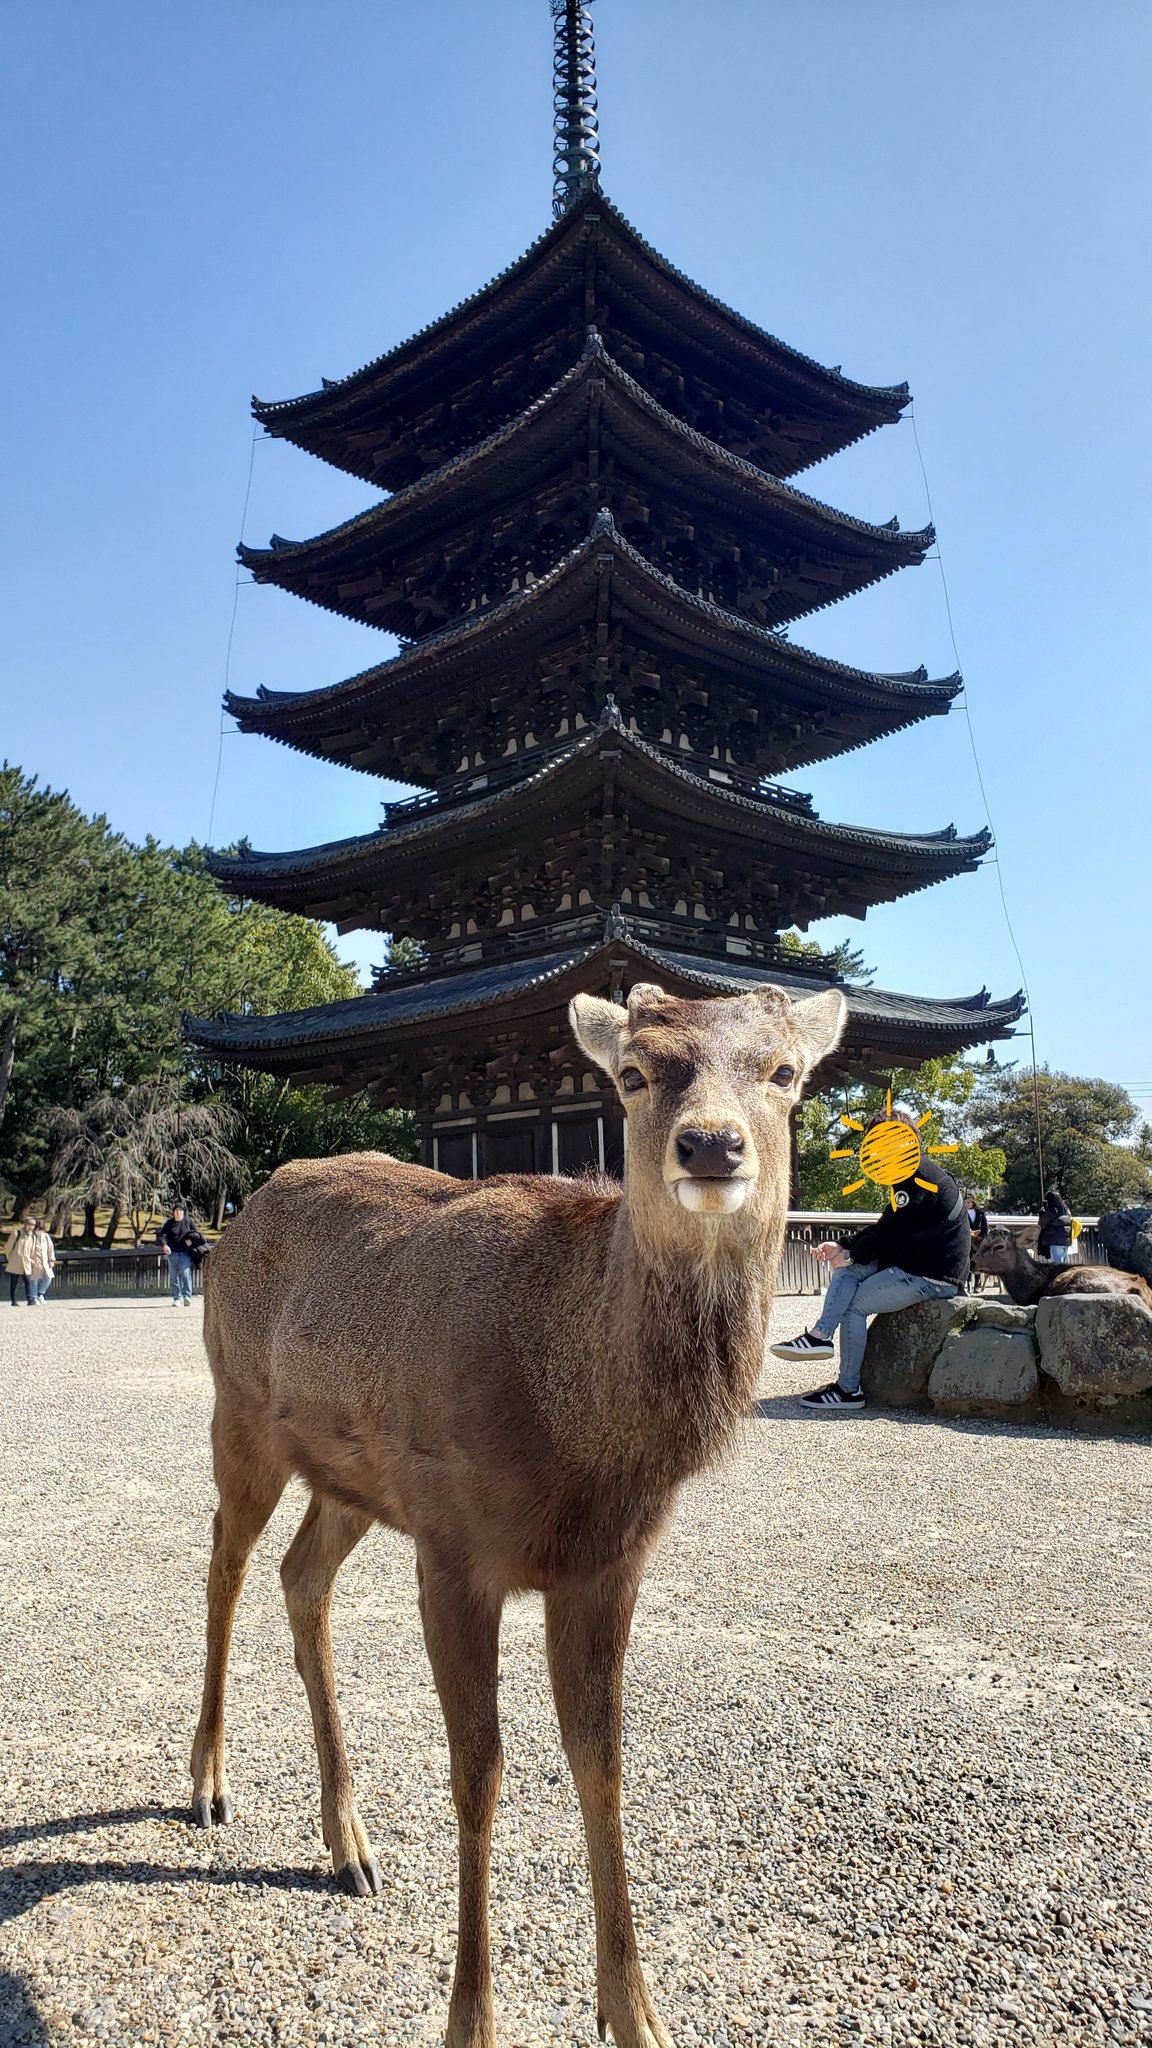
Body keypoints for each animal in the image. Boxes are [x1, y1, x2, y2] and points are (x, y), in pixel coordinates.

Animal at [192, 983, 844, 2039]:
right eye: (634, 1073)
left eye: (786, 1072)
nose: (710, 1145)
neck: (583, 1445)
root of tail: (237, 1216)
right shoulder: (456, 1546)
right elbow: (479, 1773)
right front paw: (471, 2019)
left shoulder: (608, 1564)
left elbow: (603, 1762)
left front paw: (636, 2014)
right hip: (239, 1412)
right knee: (224, 1566)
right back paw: (208, 1785)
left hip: (354, 1478)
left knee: (301, 1576)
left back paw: (348, 1842)